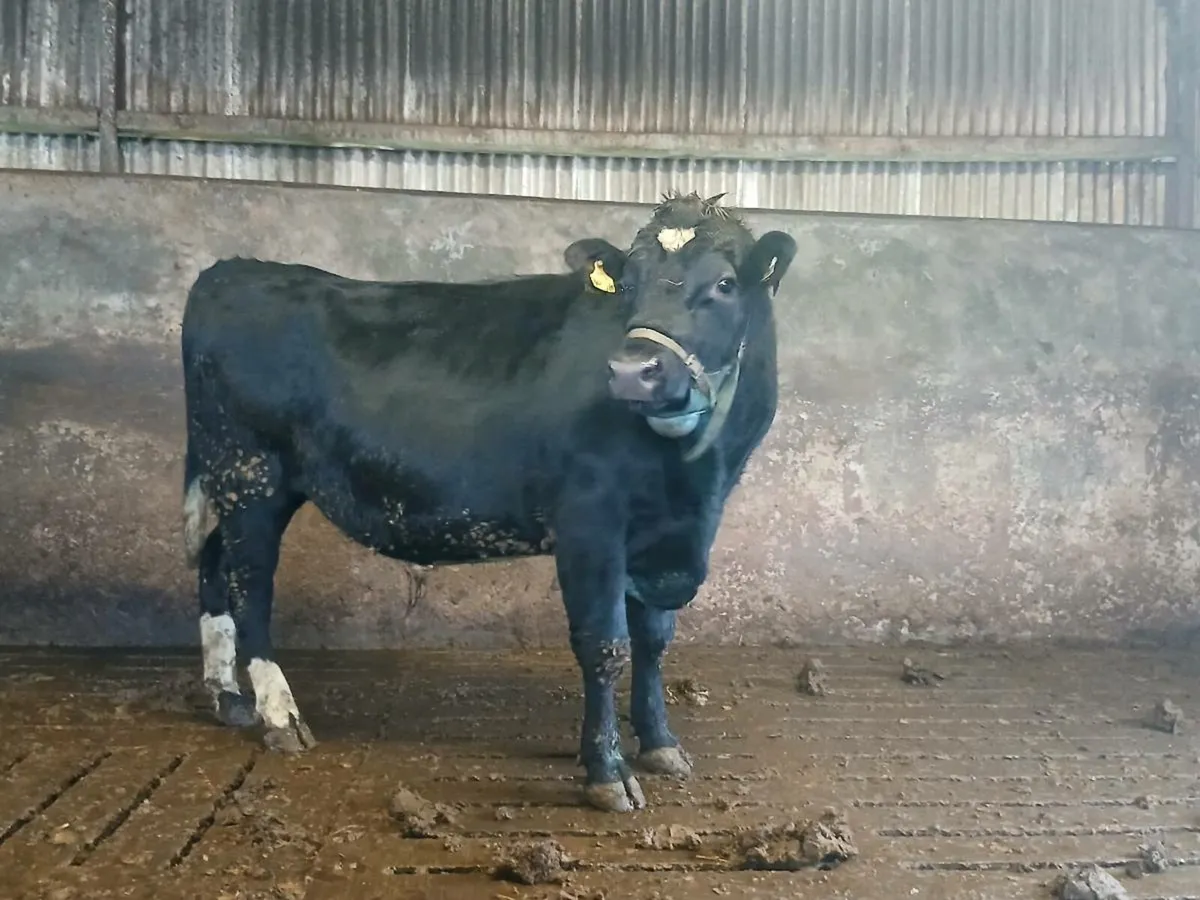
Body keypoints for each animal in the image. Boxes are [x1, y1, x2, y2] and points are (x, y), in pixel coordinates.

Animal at [180, 191, 796, 812]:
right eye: (627, 283)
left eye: (724, 284)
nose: (632, 372)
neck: (694, 481)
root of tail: (233, 269)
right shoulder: (590, 523)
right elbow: (606, 645)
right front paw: (607, 771)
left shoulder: (666, 536)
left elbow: (653, 642)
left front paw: (662, 744)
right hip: (251, 471)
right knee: (250, 582)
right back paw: (279, 715)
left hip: (243, 479)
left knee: (213, 563)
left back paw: (228, 698)